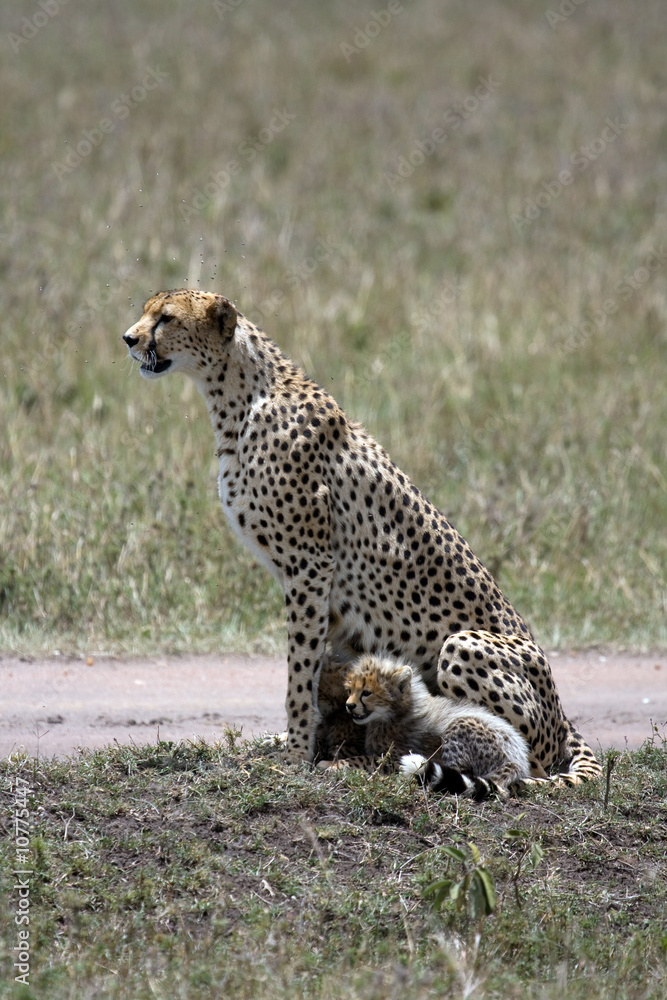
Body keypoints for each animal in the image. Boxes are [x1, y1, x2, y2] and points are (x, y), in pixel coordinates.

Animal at [338, 653, 530, 799]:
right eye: (350, 690)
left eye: (366, 693)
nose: (349, 706)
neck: (397, 712)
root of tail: (518, 758)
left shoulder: (396, 756)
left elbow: (365, 759)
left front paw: (335, 765)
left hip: (459, 725)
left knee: (459, 774)